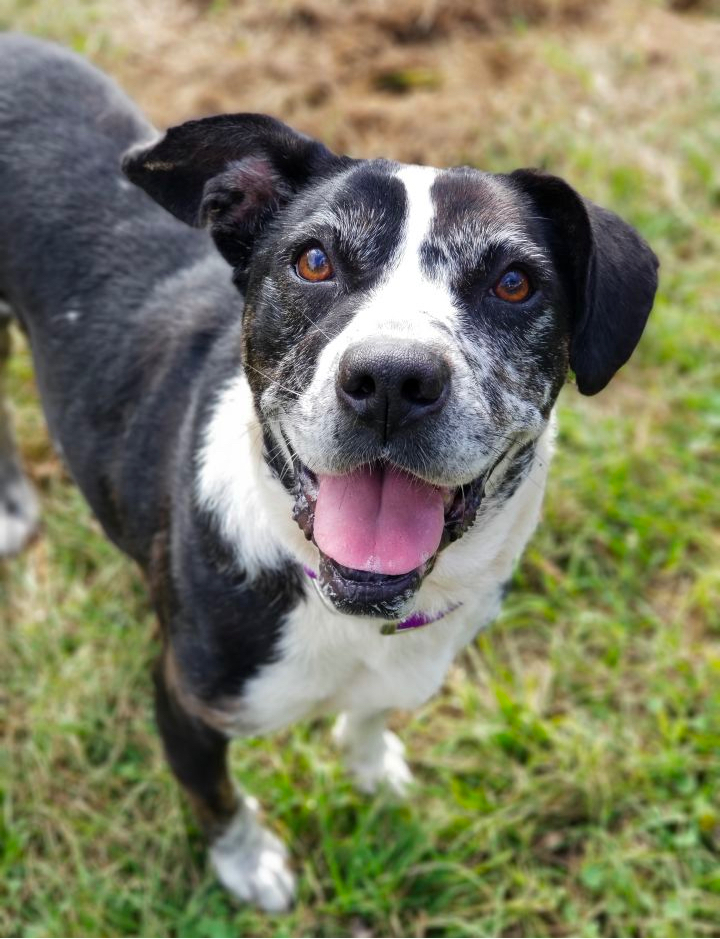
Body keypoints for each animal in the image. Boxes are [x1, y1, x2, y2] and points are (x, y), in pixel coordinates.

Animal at [0, 35, 660, 912]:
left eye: (513, 283)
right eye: (313, 260)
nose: (392, 380)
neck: (335, 596)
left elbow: (373, 713)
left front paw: (371, 764)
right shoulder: (186, 699)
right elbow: (214, 794)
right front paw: (249, 864)